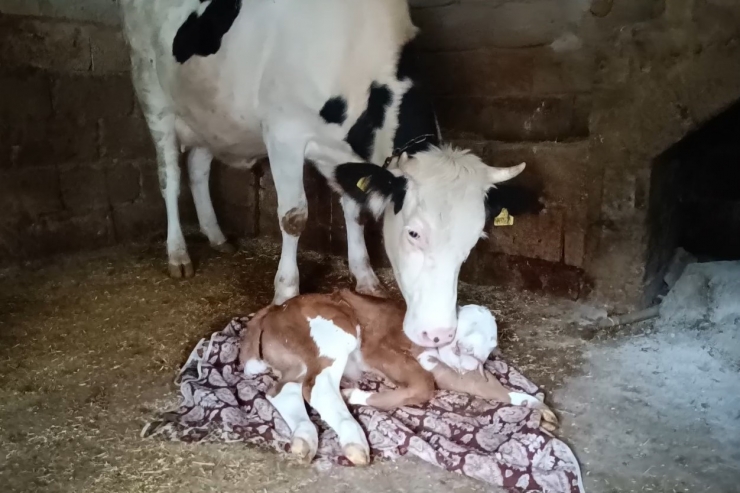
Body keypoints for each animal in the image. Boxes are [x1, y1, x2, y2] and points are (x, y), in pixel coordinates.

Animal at [118, 0, 540, 348]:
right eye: (413, 233)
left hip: (211, 119)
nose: (438, 335)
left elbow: (355, 209)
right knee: (170, 177)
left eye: (473, 241)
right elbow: (293, 217)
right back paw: (178, 253)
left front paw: (365, 276)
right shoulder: (284, 134)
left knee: (198, 166)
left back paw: (217, 235)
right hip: (153, 97)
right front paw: (286, 292)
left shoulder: (341, 153)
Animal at [237, 288, 556, 462]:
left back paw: (304, 439)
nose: (468, 358)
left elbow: (491, 388)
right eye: (463, 338)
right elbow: (424, 386)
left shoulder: (445, 369)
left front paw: (536, 405)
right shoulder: (381, 349)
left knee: (283, 391)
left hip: (298, 362)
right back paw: (353, 437)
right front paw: (358, 395)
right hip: (338, 332)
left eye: (485, 351)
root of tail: (275, 309)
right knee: (317, 388)